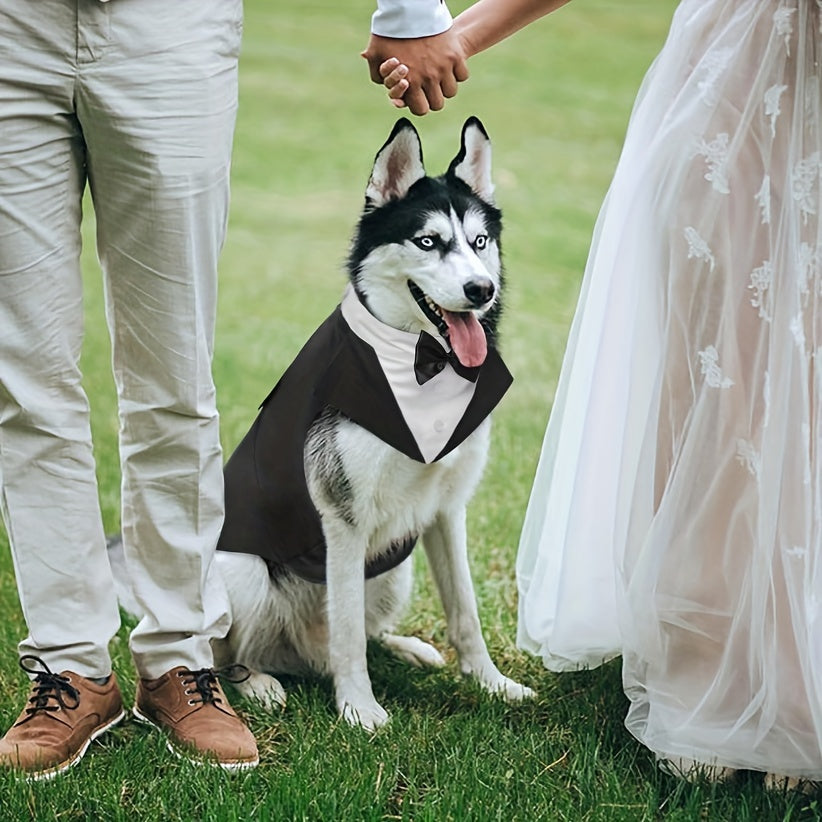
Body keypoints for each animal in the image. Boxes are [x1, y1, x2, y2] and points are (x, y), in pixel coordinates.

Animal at [112, 117, 536, 732]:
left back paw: (407, 649)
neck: (424, 364)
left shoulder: (445, 509)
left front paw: (493, 684)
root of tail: (299, 654)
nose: (482, 290)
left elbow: (465, 612)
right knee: (227, 651)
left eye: (480, 243)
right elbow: (348, 635)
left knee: (355, 636)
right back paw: (259, 685)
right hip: (244, 571)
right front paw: (359, 709)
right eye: (428, 242)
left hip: (395, 568)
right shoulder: (344, 520)